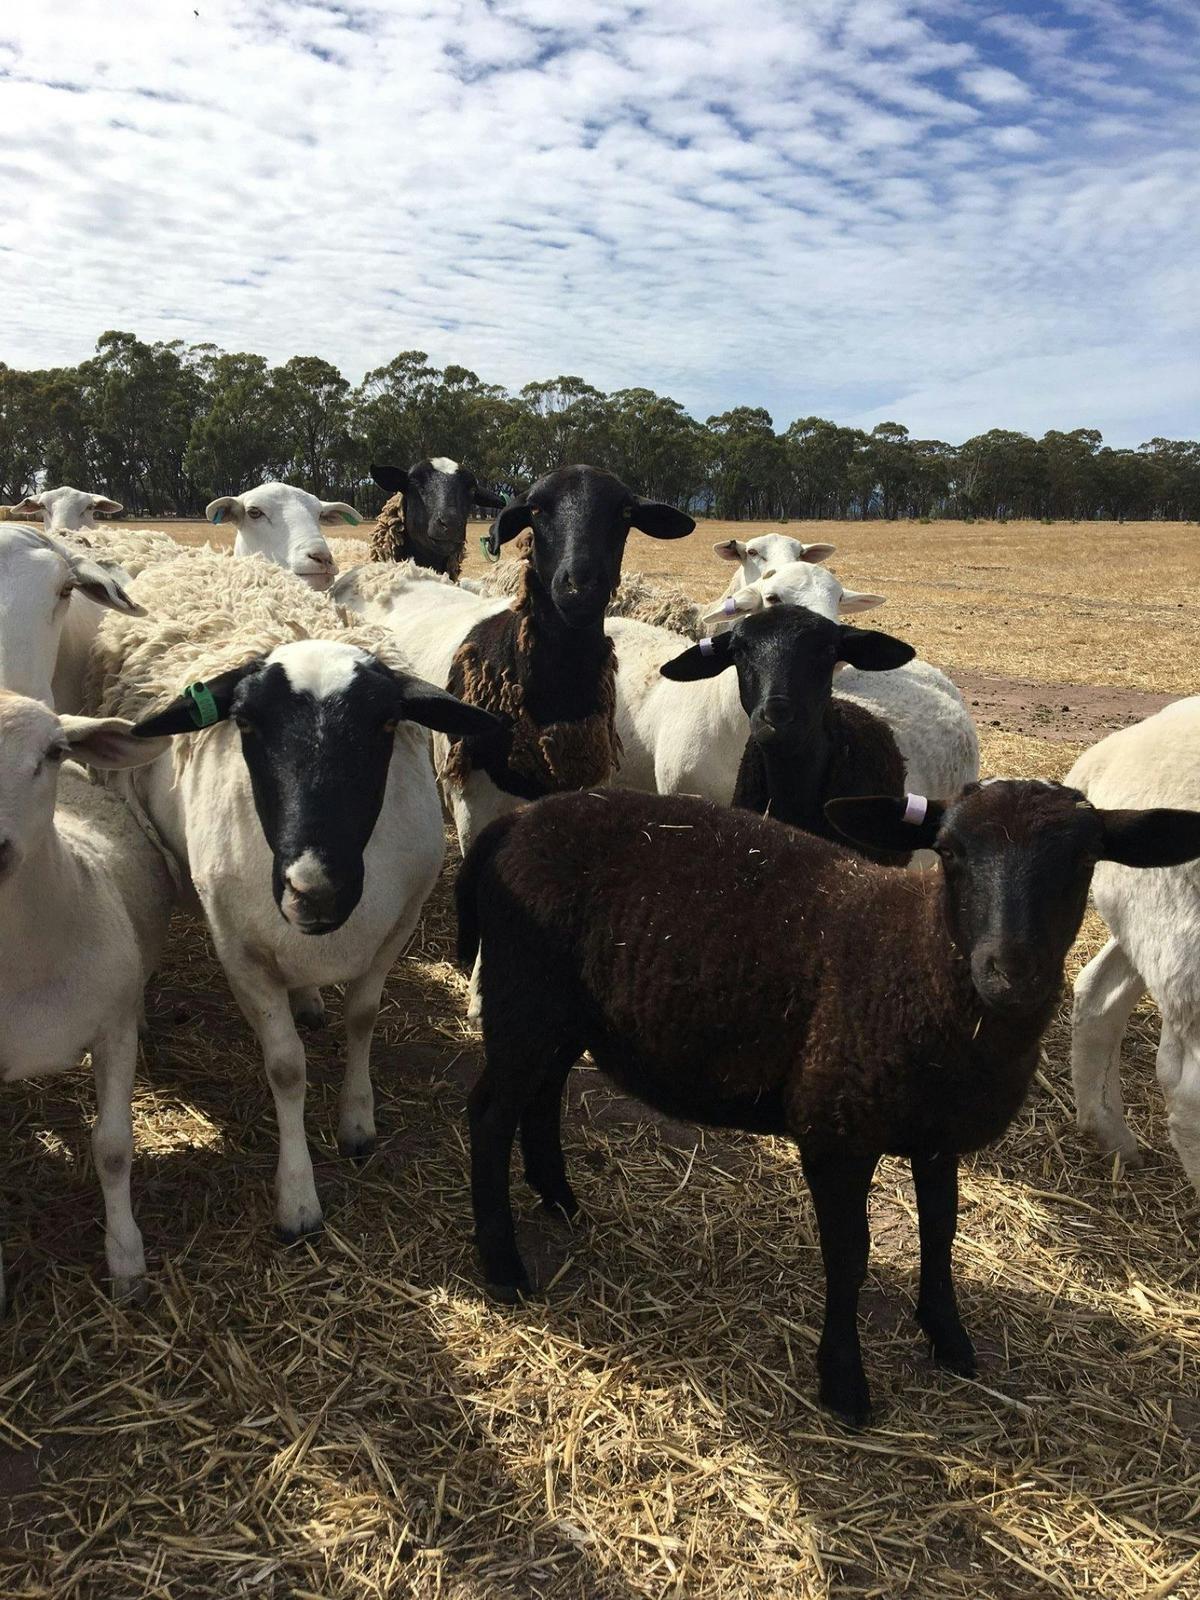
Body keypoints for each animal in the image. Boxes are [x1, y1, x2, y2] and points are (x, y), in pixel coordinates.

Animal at [83, 546, 501, 1240]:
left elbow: (363, 1018)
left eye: (387, 722)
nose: (316, 890)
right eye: (246, 722)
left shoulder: (396, 928)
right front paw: (298, 1196)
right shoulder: (241, 953)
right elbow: (286, 1068)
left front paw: (357, 1122)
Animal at [456, 780, 1200, 1422]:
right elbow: (850, 1254)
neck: (917, 963)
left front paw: (949, 1337)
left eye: (1085, 857)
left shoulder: (939, 1135)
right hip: (525, 998)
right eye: (950, 851)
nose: (1011, 973)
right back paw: (504, 1265)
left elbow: (941, 1230)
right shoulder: (835, 1131)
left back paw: (559, 1197)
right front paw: (843, 1381)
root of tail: (512, 825)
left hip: (561, 1013)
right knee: (490, 1114)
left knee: (542, 1094)